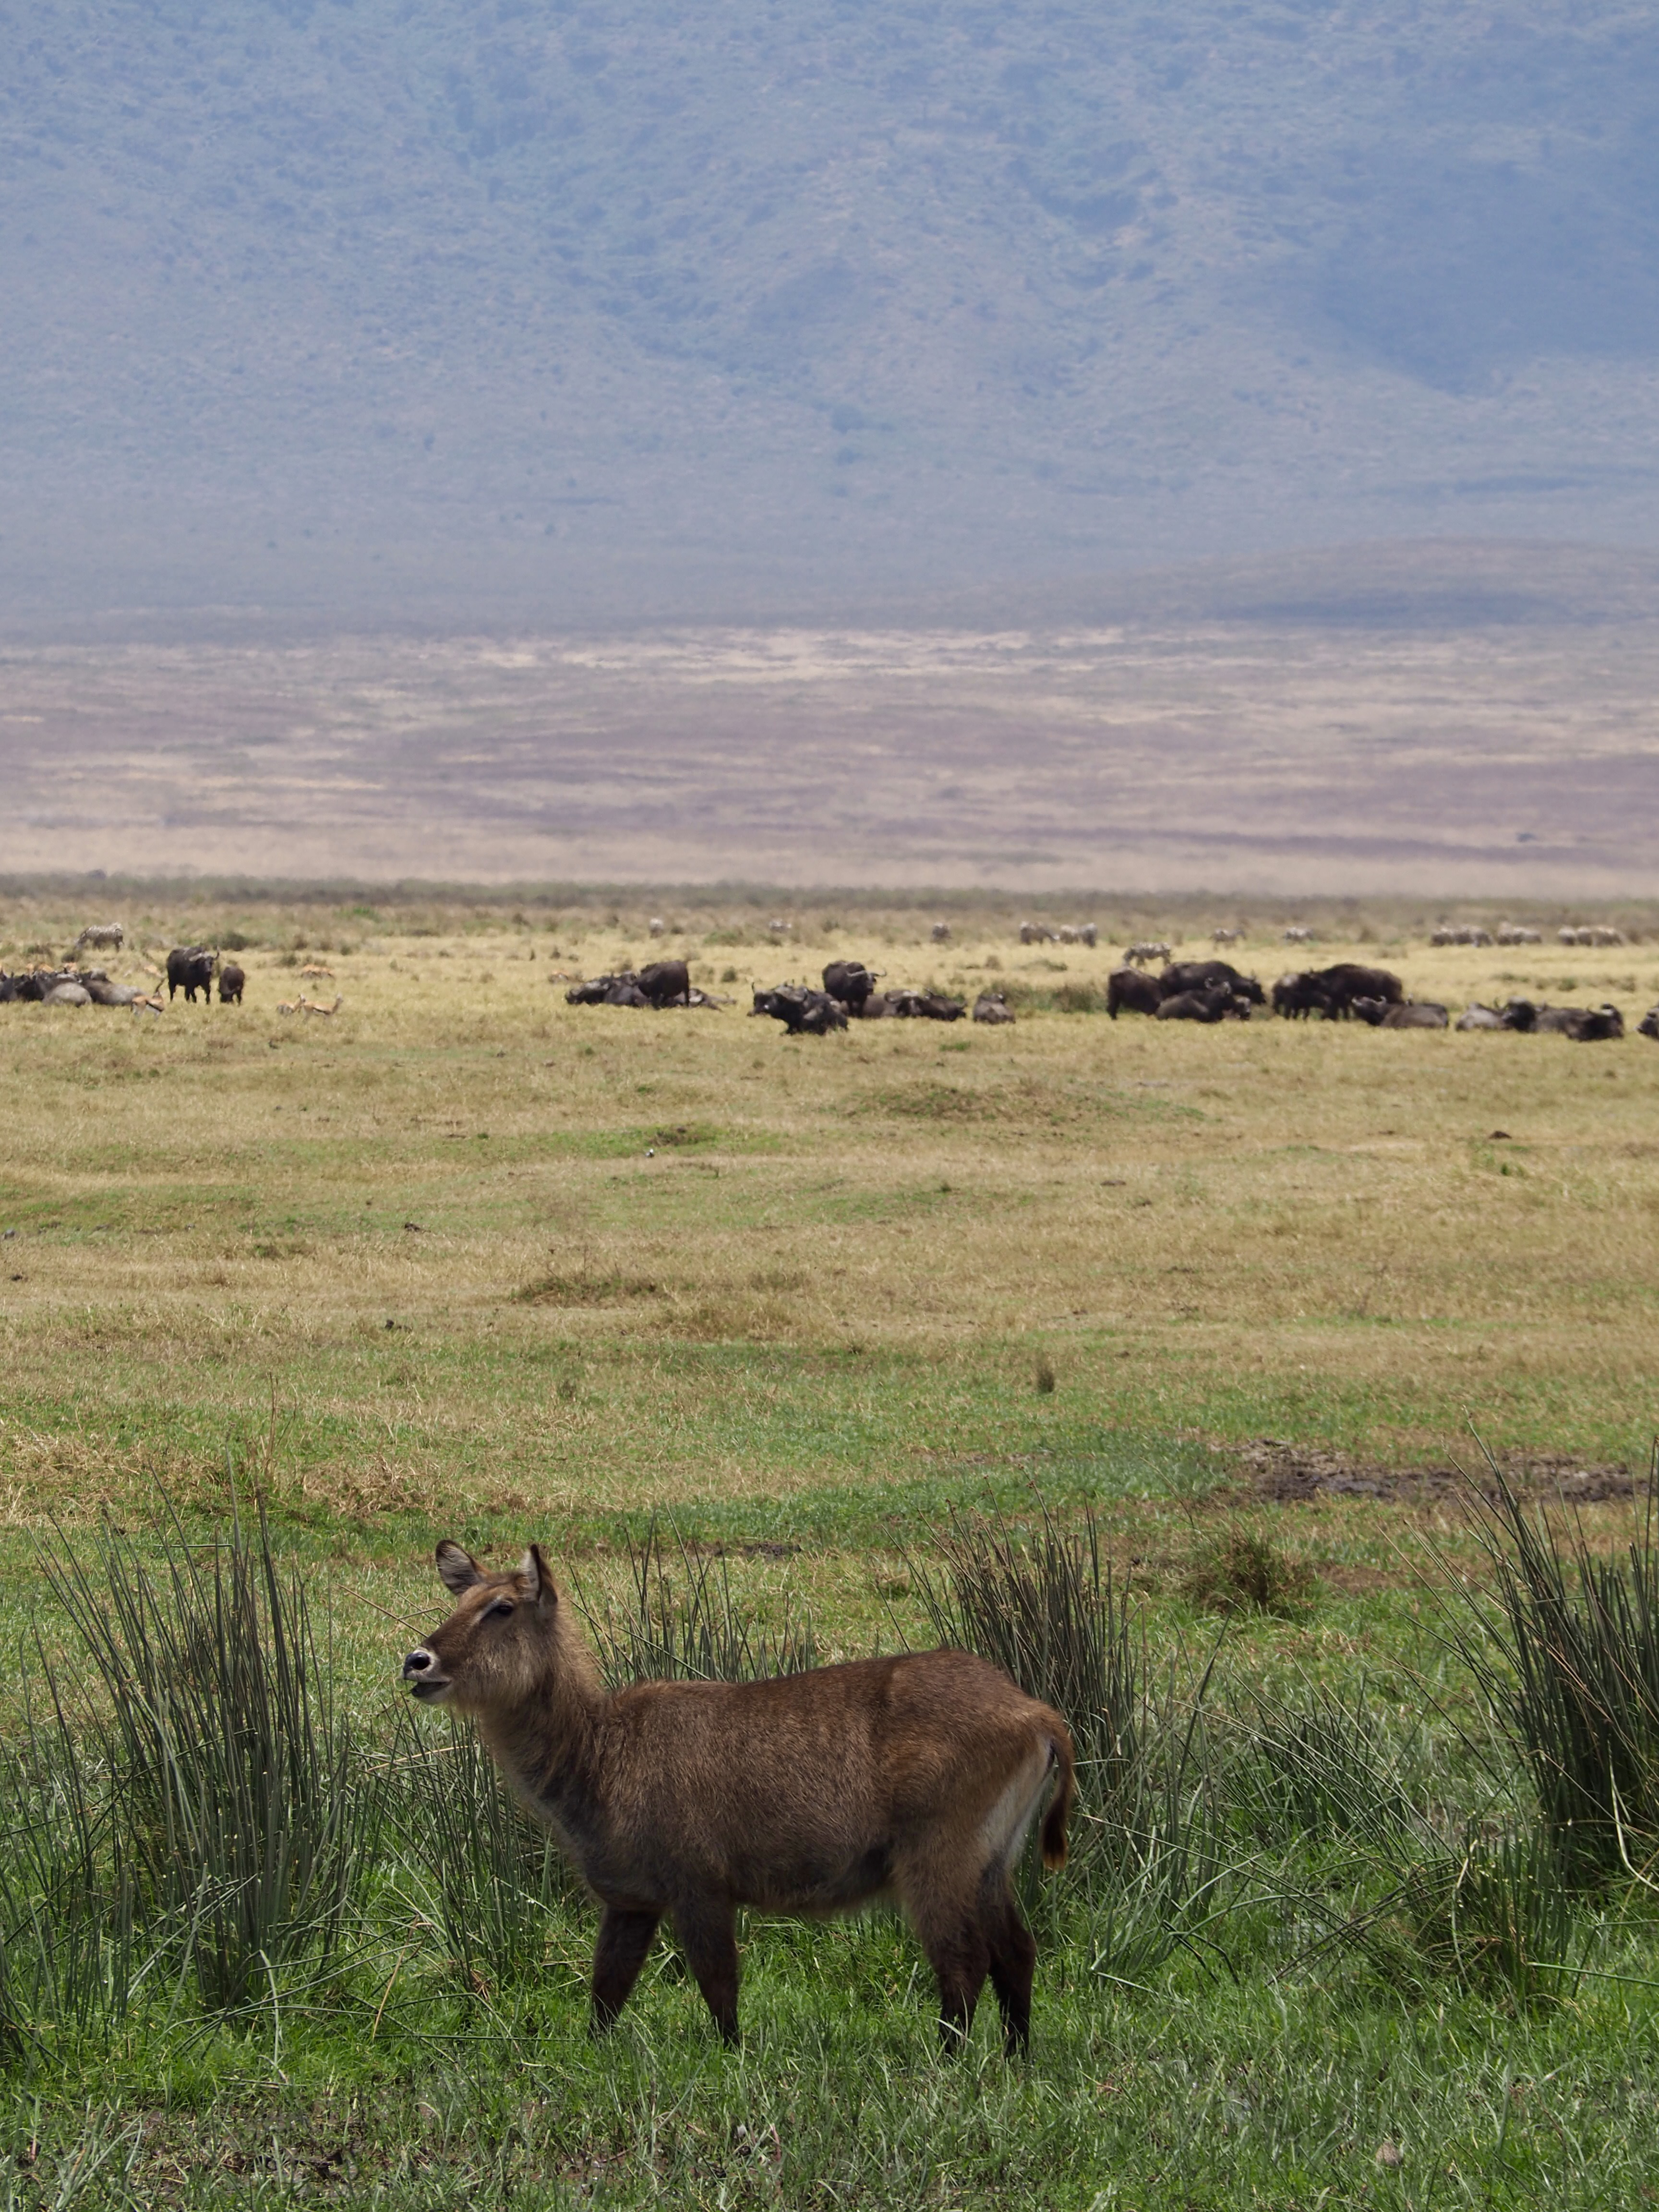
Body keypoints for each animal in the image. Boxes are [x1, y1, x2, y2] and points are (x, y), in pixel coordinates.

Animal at [167, 942, 217, 1004]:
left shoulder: (206, 983)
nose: (209, 971)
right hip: (172, 980)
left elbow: (208, 992)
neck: (199, 974)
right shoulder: (190, 985)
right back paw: (171, 1001)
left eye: (211, 962)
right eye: (202, 962)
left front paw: (208, 1002)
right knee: (172, 991)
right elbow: (193, 995)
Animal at [407, 1548, 1079, 2044]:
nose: (417, 1660)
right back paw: (1017, 2058)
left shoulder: (699, 1885)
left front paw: (732, 2057)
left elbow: (718, 1985)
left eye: (502, 1607)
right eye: (459, 1600)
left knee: (963, 1964)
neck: (600, 1753)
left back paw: (948, 2065)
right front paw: (591, 2059)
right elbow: (606, 1993)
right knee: (1016, 1952)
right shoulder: (630, 1901)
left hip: (938, 1861)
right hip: (991, 1862)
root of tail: (1035, 1711)